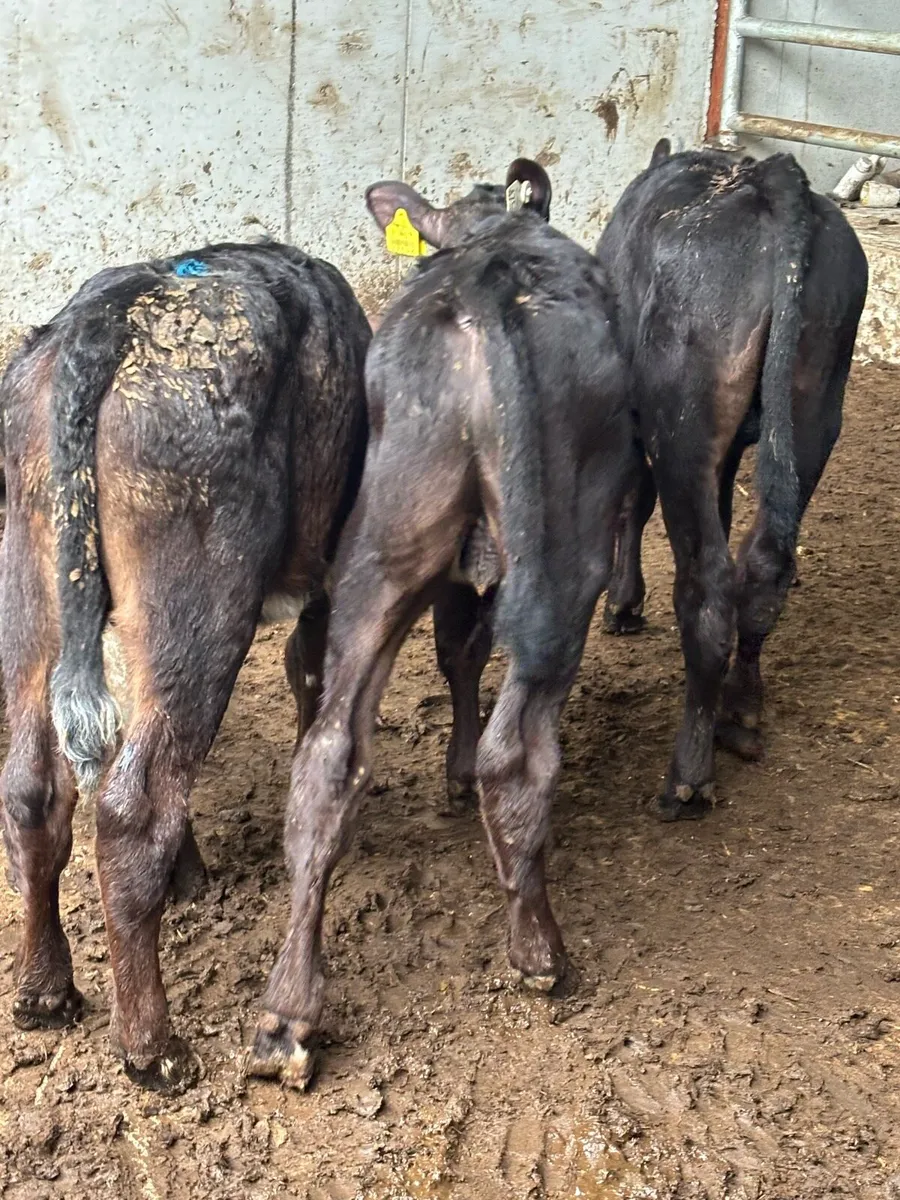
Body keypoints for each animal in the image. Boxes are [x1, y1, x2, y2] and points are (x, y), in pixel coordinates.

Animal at [0, 241, 370, 1092]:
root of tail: (104, 315)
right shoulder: (324, 576)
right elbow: (310, 677)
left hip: (29, 579)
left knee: (36, 786)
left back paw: (44, 989)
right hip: (198, 606)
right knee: (133, 807)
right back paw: (153, 1047)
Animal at [248, 158, 638, 1088]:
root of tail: (485, 285)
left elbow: (456, 651)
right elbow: (469, 654)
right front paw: (462, 773)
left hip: (386, 538)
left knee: (328, 756)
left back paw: (288, 1014)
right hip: (565, 555)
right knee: (520, 750)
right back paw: (539, 952)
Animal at [595, 140, 868, 820]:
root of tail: (773, 179)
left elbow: (632, 502)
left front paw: (623, 602)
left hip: (682, 421)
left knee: (709, 588)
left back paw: (688, 775)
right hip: (813, 407)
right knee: (763, 567)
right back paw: (740, 712)